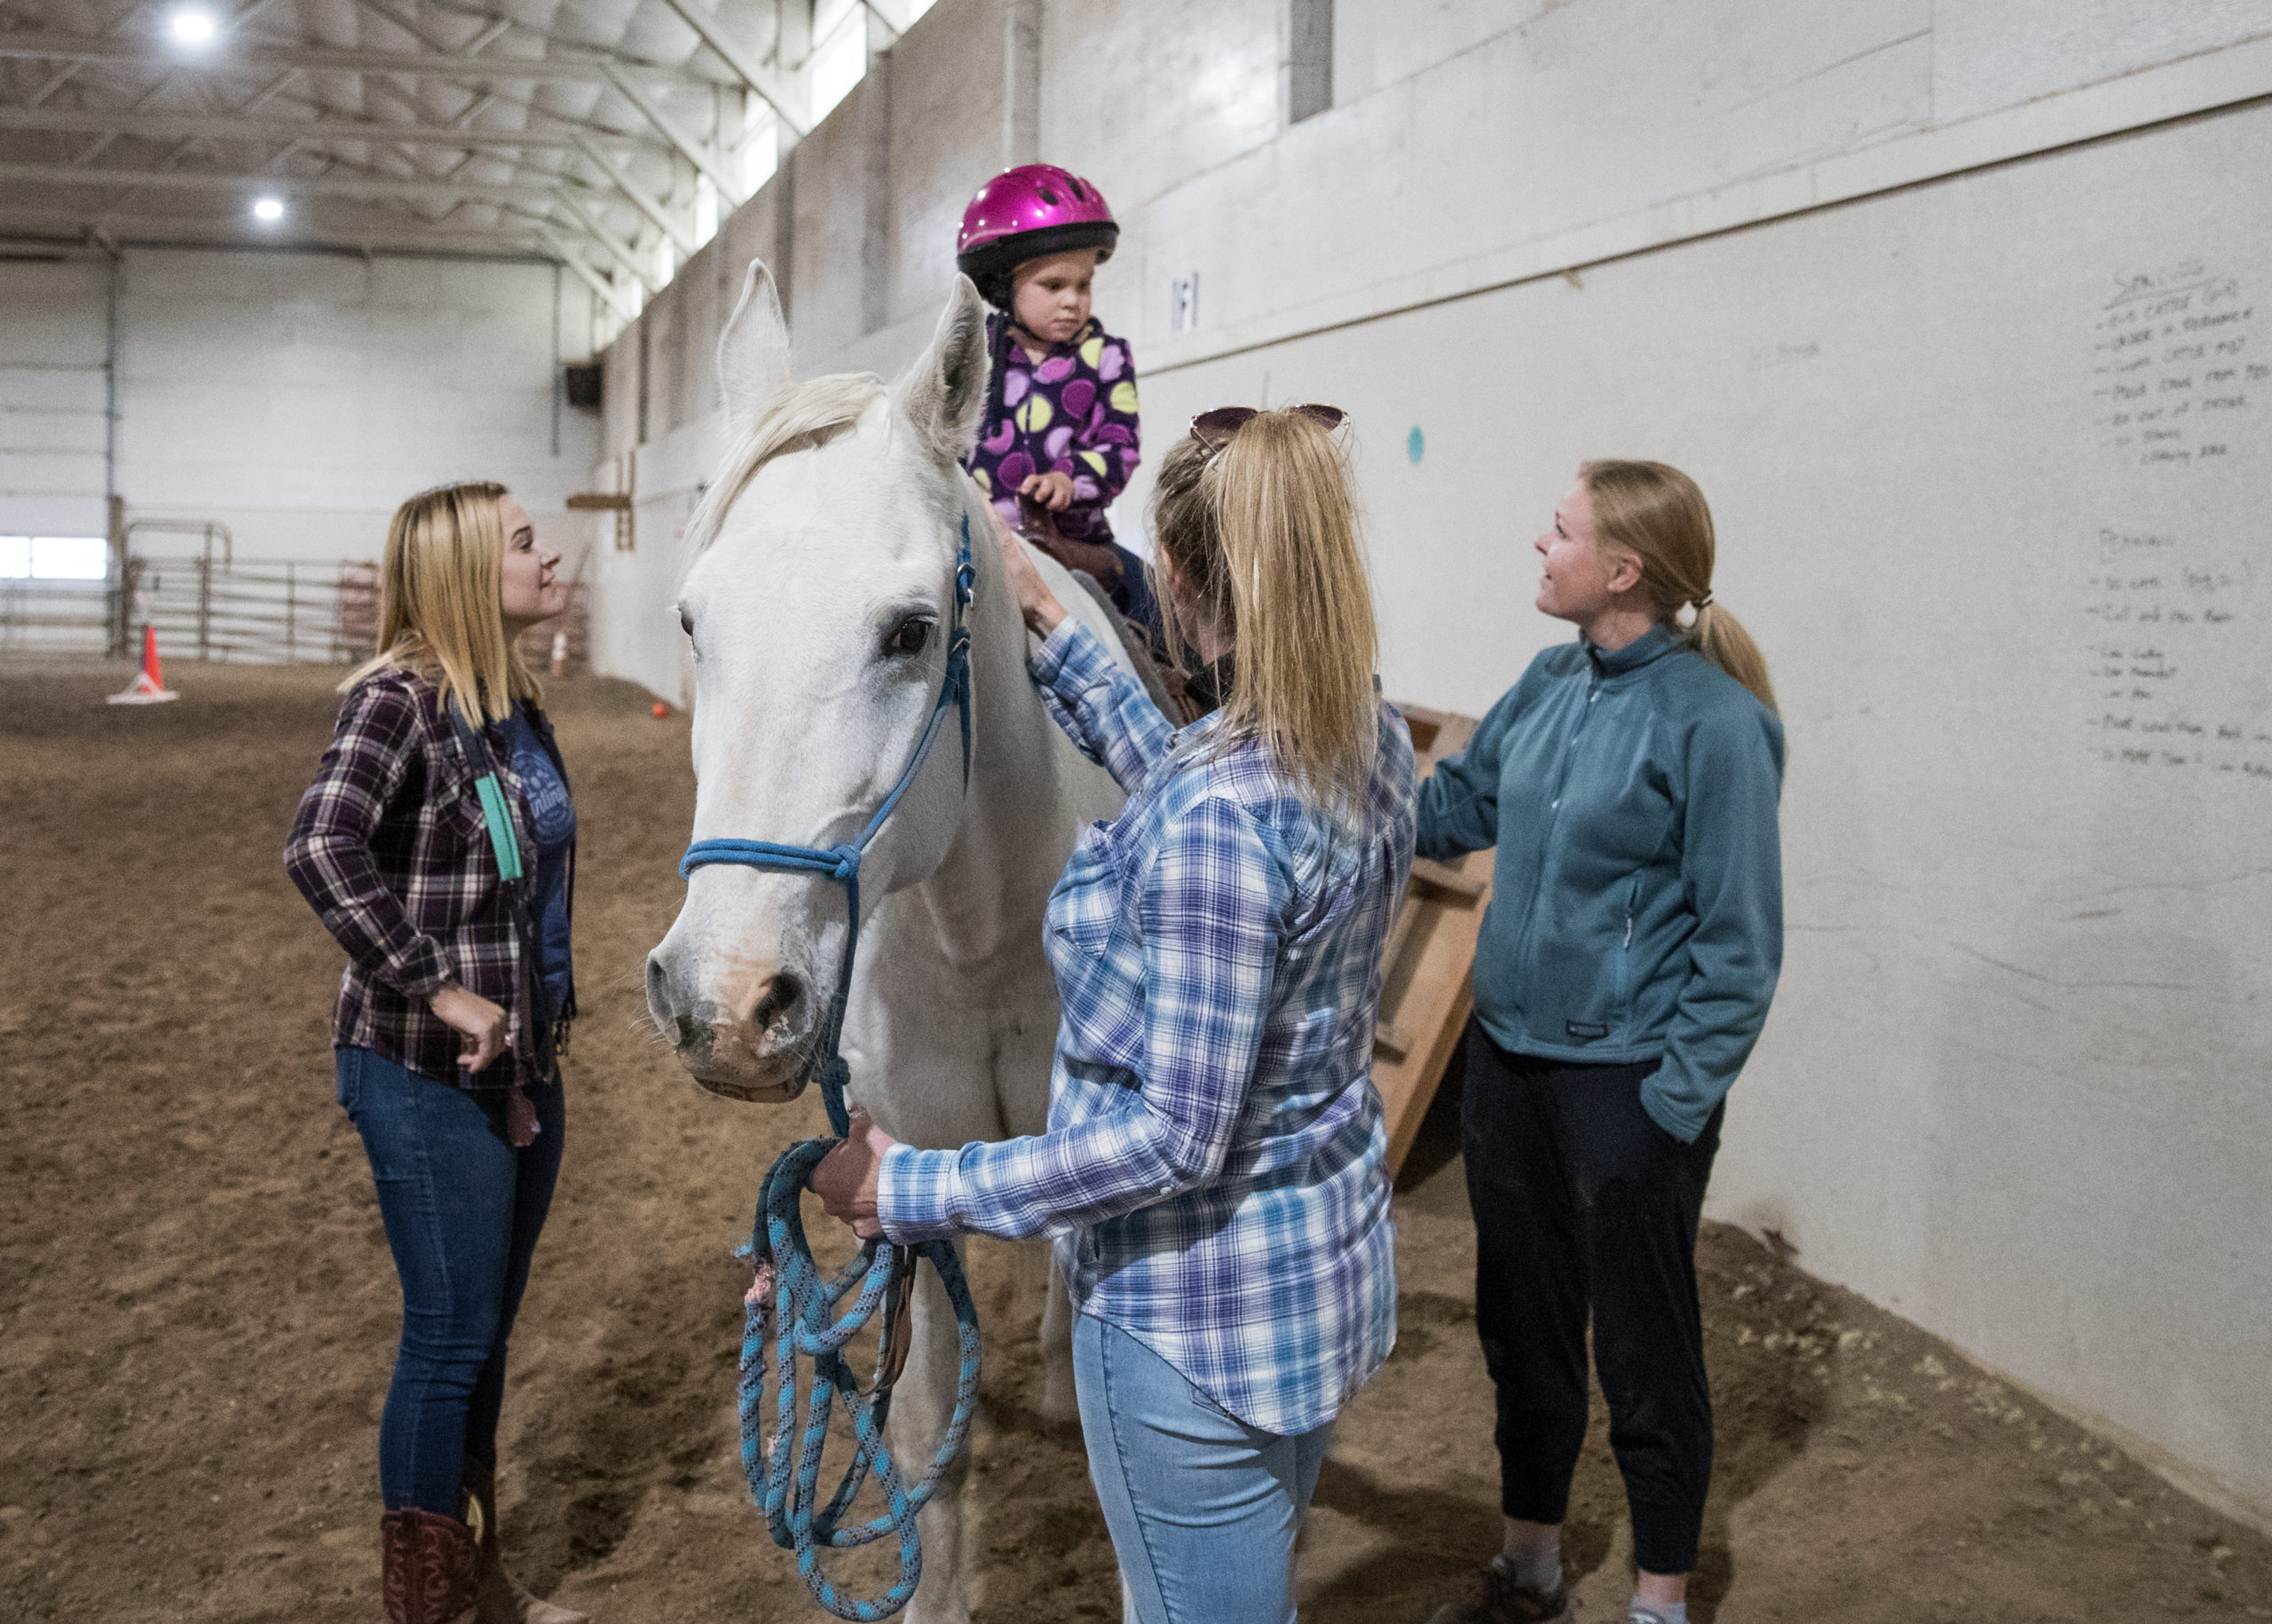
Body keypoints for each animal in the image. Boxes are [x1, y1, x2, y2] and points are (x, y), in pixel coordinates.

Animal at [645, 260, 1131, 1617]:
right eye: (693, 623)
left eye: (909, 630)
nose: (725, 999)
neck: (985, 932)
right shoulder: (908, 1181)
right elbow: (926, 1446)